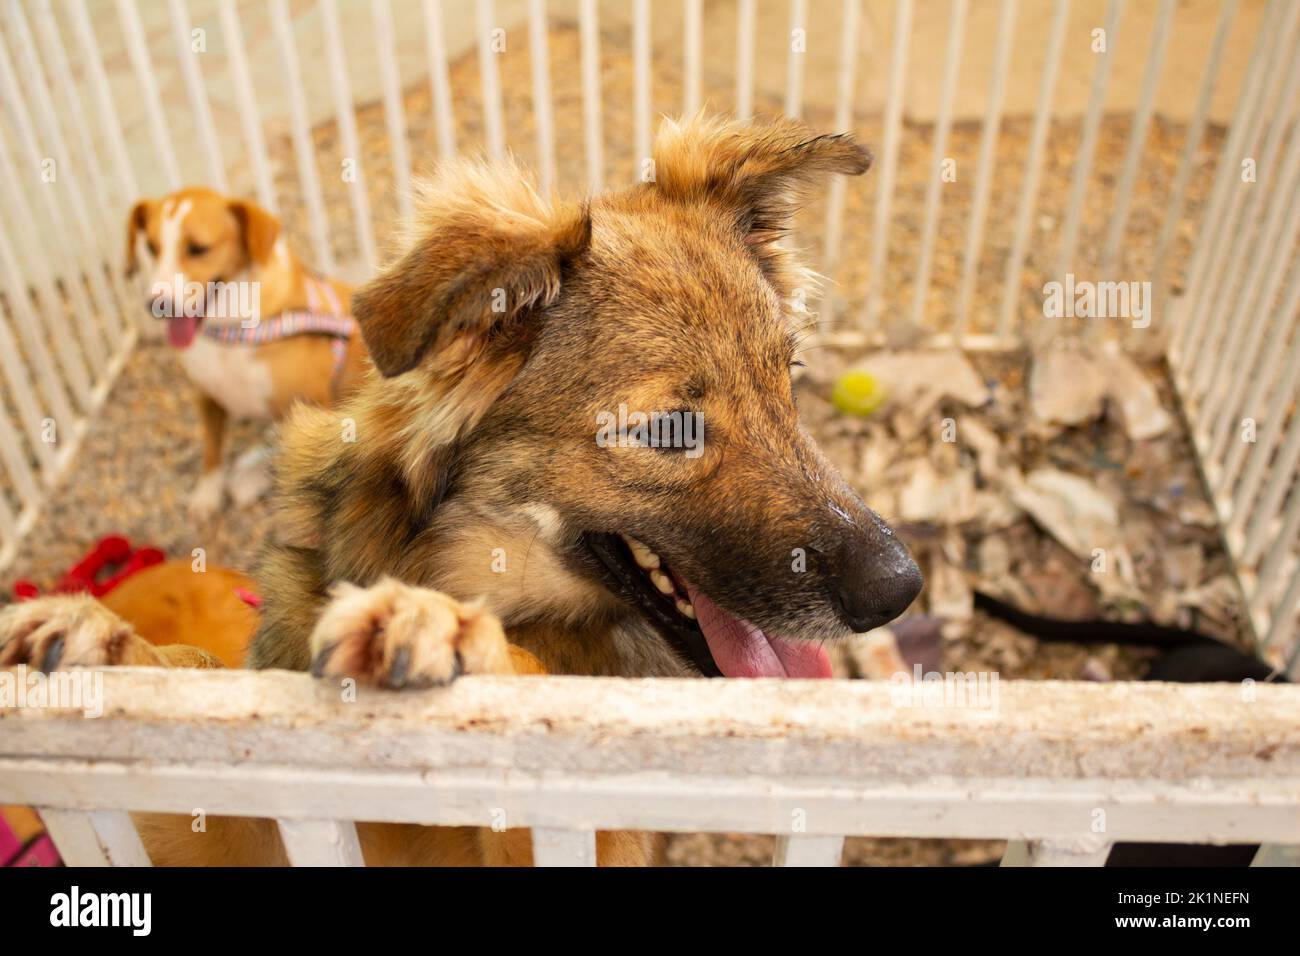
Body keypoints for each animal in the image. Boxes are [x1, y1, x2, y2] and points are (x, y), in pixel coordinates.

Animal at [126, 189, 366, 520]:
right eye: (151, 247)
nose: (156, 305)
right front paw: (208, 493)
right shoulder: (205, 394)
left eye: (198, 249)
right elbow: (211, 448)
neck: (230, 332)